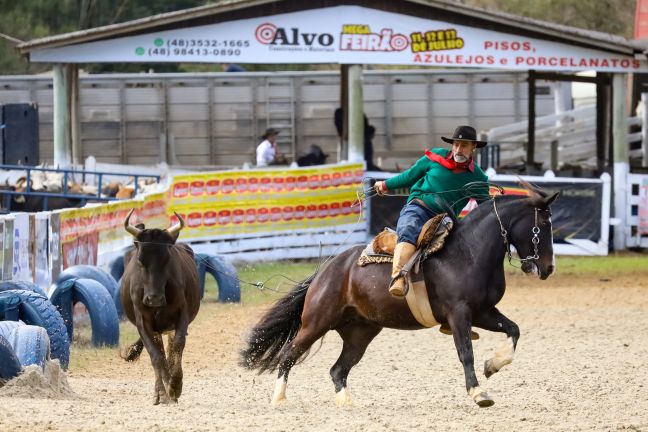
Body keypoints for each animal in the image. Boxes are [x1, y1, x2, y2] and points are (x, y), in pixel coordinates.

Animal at [119, 209, 200, 404]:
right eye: (141, 260)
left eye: (167, 259)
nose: (154, 299)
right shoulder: (143, 322)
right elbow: (155, 356)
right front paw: (162, 393)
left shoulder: (181, 315)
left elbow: (177, 347)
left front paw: (175, 386)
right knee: (161, 354)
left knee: (169, 350)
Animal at [240, 184, 560, 406]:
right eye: (543, 225)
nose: (547, 268)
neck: (469, 251)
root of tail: (326, 270)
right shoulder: (460, 314)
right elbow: (465, 352)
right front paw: (479, 392)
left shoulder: (483, 312)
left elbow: (514, 330)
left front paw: (493, 365)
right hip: (316, 323)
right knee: (288, 354)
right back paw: (278, 399)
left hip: (360, 332)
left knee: (338, 370)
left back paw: (346, 403)